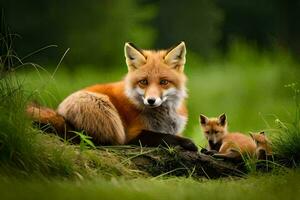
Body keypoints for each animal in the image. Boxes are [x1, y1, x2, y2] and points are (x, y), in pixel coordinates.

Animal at [27, 42, 197, 152]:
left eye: (163, 82)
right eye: (143, 82)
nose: (151, 101)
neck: (165, 118)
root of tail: (60, 112)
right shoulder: (134, 134)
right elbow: (164, 137)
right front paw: (189, 143)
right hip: (106, 111)